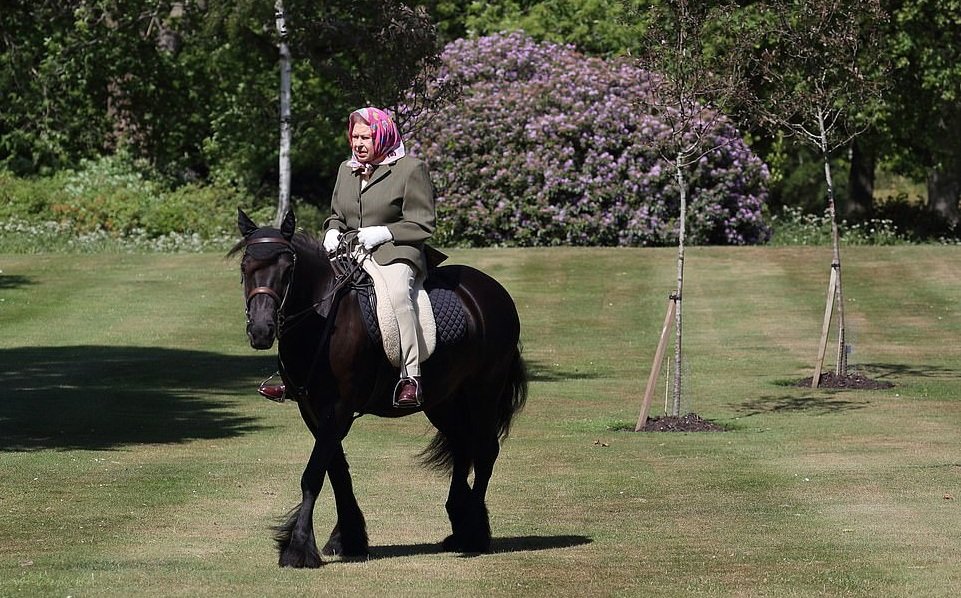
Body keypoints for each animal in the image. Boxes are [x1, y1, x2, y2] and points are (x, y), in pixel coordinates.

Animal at [232, 211, 528, 572]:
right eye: (246, 266)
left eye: (288, 269)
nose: (262, 330)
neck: (323, 318)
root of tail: (492, 291)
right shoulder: (313, 410)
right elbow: (337, 470)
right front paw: (348, 538)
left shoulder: (339, 408)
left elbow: (314, 474)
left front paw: (298, 547)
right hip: (443, 400)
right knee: (462, 446)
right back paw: (460, 526)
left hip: (483, 391)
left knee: (485, 451)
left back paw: (474, 533)